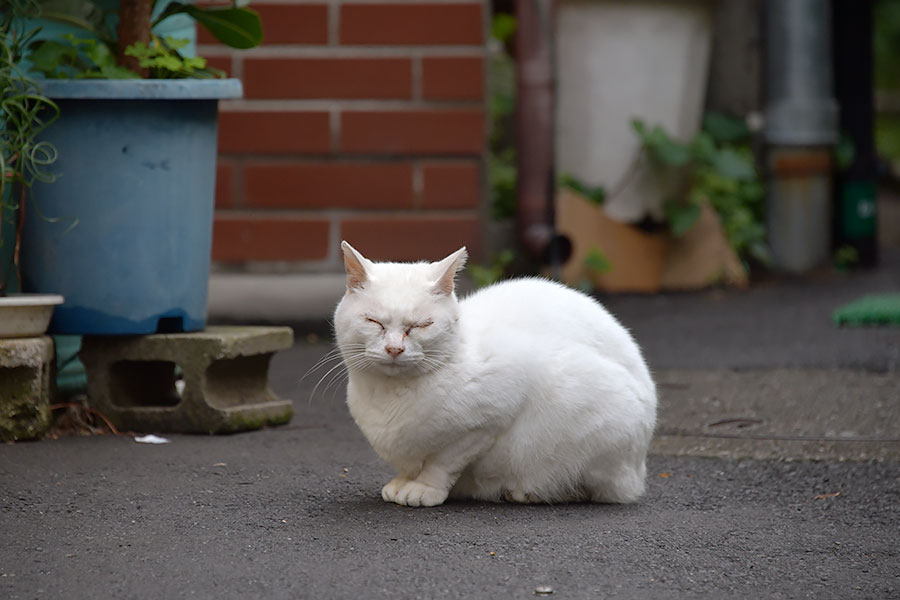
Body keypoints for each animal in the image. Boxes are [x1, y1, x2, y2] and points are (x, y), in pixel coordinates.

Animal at [334, 241, 656, 508]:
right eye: (373, 322)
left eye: (421, 325)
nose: (394, 349)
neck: (388, 396)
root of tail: (638, 471)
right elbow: (412, 465)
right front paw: (402, 482)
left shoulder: (486, 421)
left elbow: (442, 463)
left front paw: (424, 488)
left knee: (594, 488)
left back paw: (530, 493)